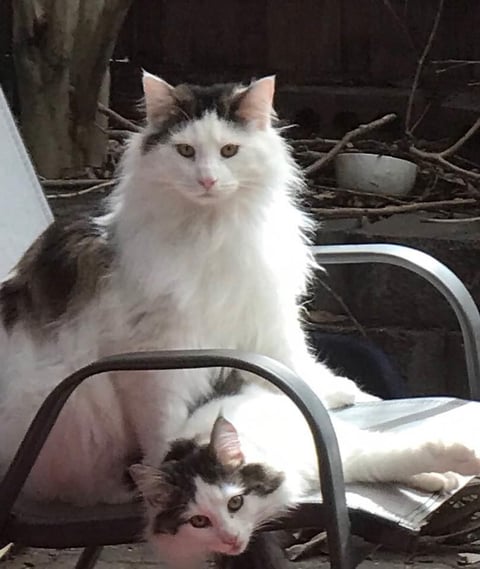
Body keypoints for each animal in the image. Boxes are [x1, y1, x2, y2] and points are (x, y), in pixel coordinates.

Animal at [0, 73, 372, 504]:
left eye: (229, 150)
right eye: (185, 151)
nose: (207, 179)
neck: (211, 232)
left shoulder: (263, 312)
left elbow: (295, 363)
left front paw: (330, 393)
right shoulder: (158, 354)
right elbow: (165, 424)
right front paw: (174, 475)